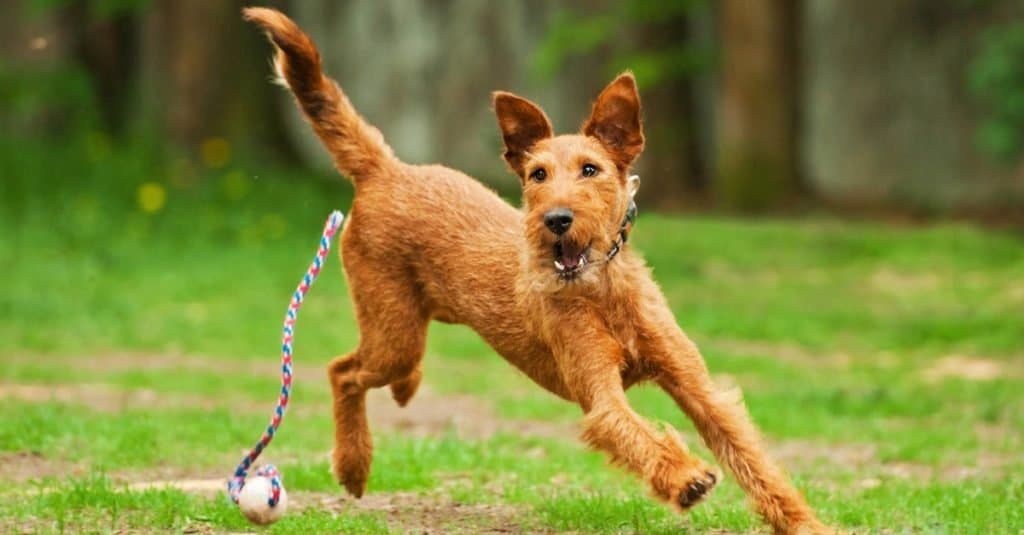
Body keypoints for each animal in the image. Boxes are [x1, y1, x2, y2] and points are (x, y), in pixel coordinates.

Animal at [243, 8, 827, 532]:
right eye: (537, 175)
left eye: (590, 169)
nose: (556, 220)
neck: (603, 291)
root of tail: (387, 169)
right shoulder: (600, 394)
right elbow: (636, 432)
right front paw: (685, 477)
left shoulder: (697, 387)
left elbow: (754, 460)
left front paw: (805, 523)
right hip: (393, 330)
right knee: (343, 369)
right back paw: (354, 464)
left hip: (408, 324)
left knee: (374, 366)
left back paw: (404, 393)